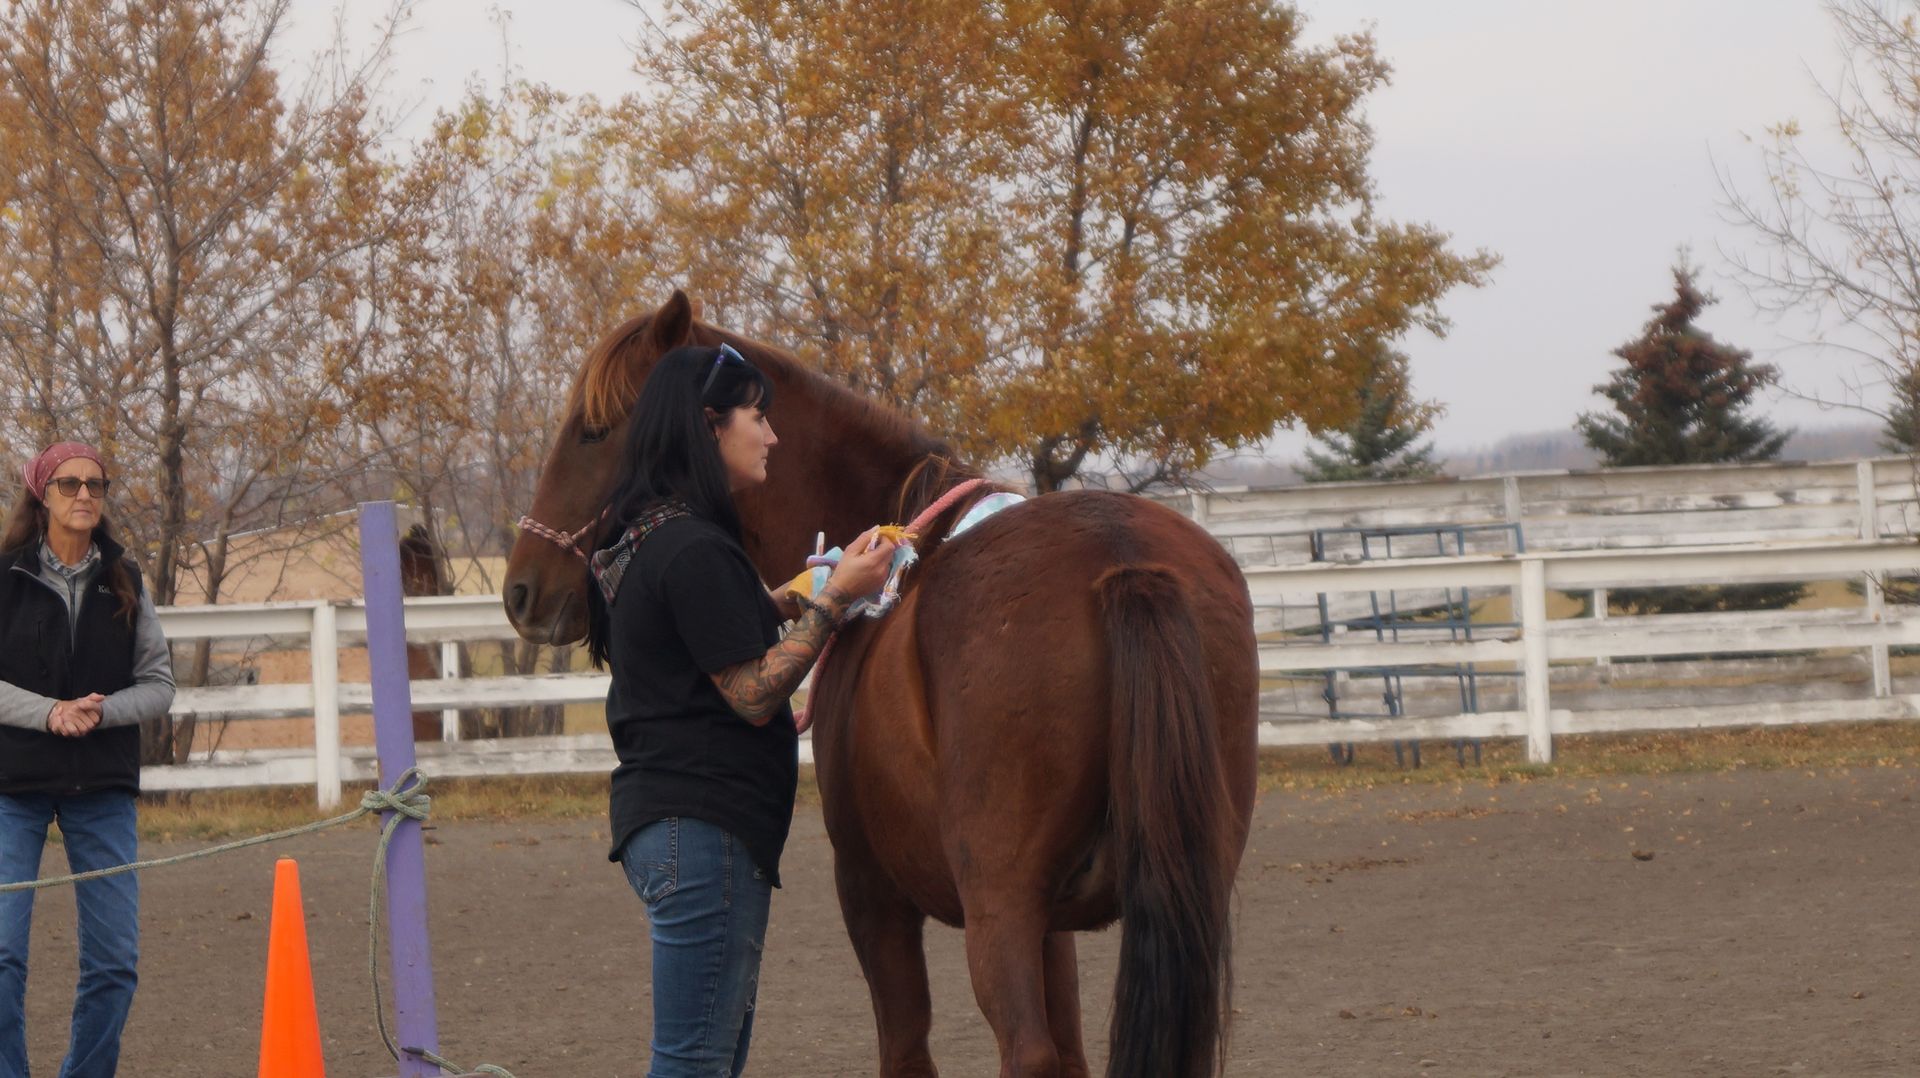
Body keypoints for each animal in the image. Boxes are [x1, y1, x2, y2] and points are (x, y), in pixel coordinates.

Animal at [502, 291, 1260, 1078]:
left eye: (593, 430)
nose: (521, 589)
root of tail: (1122, 558)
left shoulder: (873, 895)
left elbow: (906, 1046)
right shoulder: (1054, 927)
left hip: (1000, 910)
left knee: (1024, 1051)